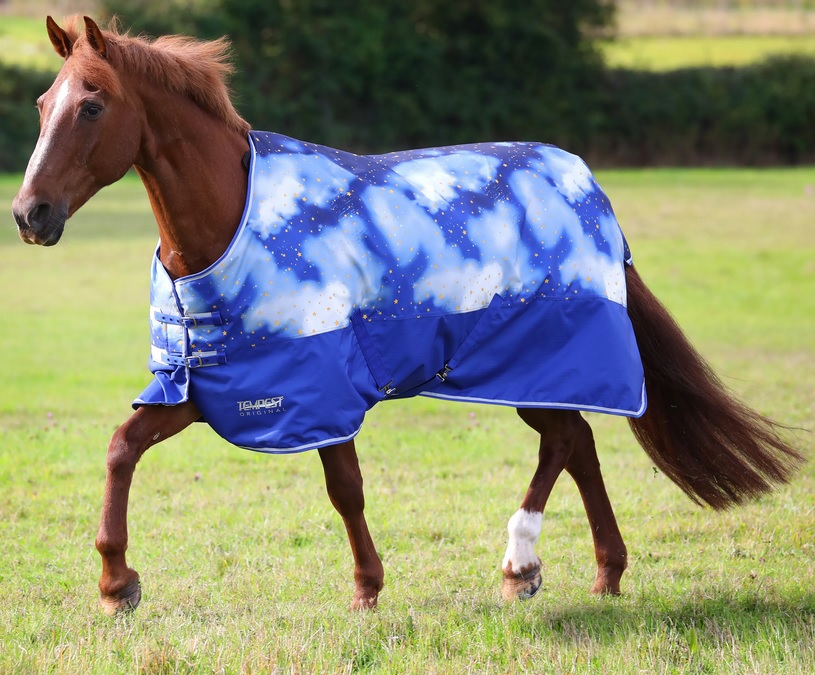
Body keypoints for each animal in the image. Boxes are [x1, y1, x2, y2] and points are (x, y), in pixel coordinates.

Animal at [12, 16, 802, 615]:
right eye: (44, 104)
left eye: (92, 105)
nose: (29, 214)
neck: (226, 223)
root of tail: (586, 185)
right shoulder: (208, 384)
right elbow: (122, 447)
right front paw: (117, 585)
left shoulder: (322, 385)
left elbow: (344, 487)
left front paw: (366, 588)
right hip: (527, 367)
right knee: (576, 441)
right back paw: (603, 572)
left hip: (531, 355)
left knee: (561, 442)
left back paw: (520, 564)